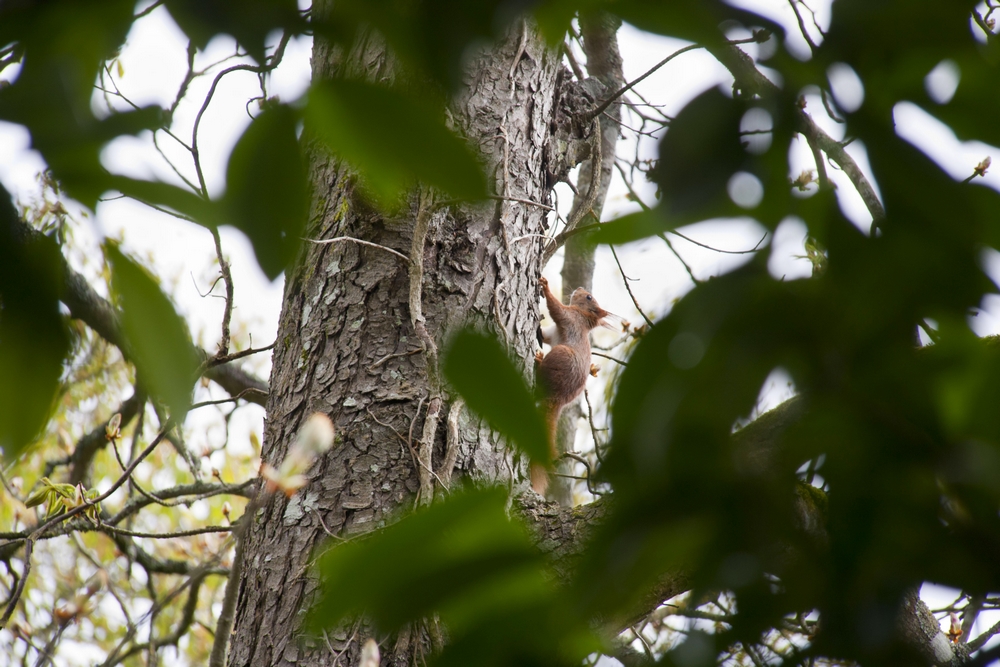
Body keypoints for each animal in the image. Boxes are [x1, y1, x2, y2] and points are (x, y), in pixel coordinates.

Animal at [532, 276, 608, 496]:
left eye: (589, 297)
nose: (580, 287)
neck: (584, 316)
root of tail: (559, 398)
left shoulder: (570, 317)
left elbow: (556, 309)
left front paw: (545, 286)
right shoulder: (554, 332)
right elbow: (545, 335)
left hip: (562, 355)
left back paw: (538, 362)